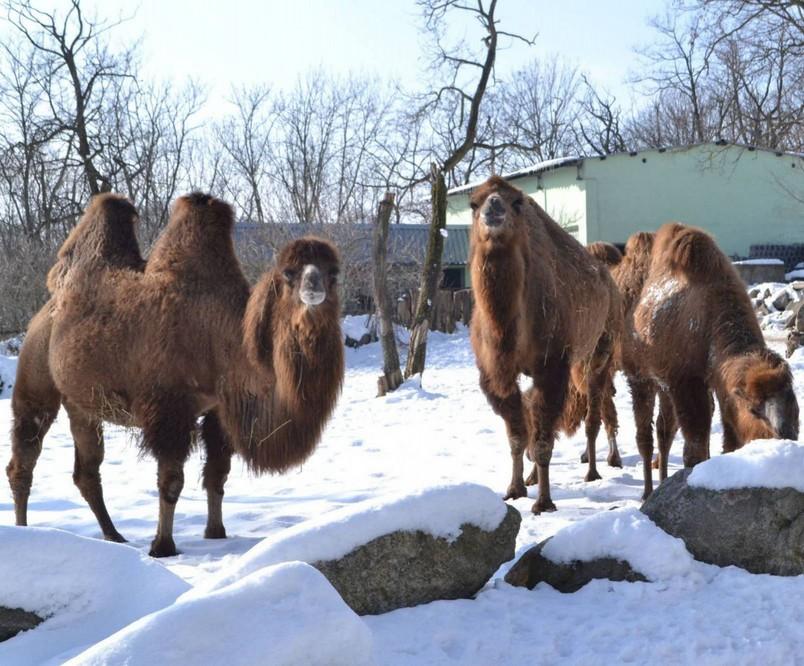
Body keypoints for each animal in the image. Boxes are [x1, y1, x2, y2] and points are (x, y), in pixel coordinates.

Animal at [7, 192, 344, 556]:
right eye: (288, 272)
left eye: (334, 272)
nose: (314, 287)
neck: (220, 337)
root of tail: (44, 311)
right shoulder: (169, 408)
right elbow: (171, 482)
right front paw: (162, 546)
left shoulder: (218, 410)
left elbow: (217, 475)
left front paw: (216, 532)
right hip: (36, 376)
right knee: (23, 458)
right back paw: (24, 532)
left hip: (81, 403)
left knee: (87, 471)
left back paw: (114, 536)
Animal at [464, 175, 620, 512]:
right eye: (473, 203)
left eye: (517, 201)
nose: (493, 206)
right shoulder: (494, 376)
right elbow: (518, 436)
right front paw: (515, 489)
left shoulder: (552, 366)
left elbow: (544, 439)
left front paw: (544, 503)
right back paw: (534, 476)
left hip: (599, 350)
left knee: (593, 412)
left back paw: (592, 471)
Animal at [636, 220, 796, 470]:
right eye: (753, 408)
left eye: (792, 398)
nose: (785, 434)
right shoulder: (684, 382)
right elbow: (696, 439)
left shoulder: (723, 388)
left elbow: (729, 436)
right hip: (657, 381)